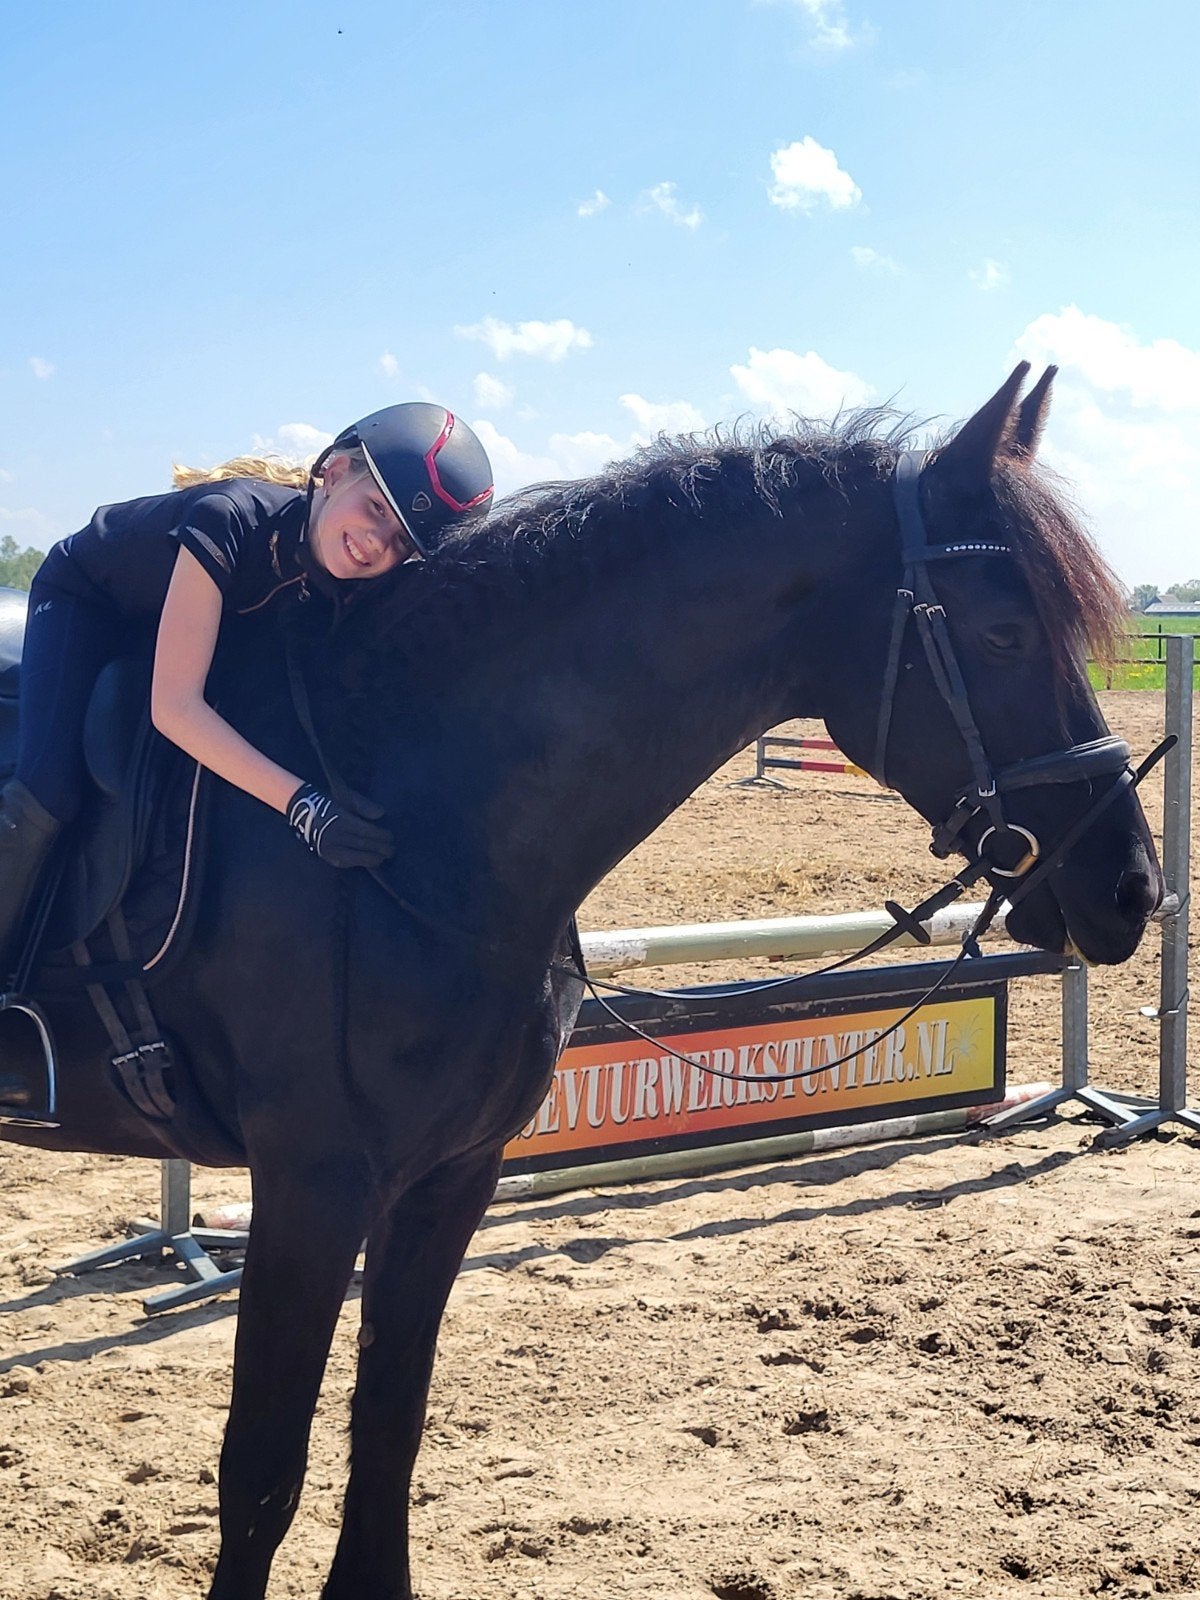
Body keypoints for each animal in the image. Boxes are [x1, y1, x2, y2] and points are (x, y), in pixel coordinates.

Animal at [0, 364, 1163, 1598]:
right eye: (1003, 631)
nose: (1132, 886)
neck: (407, 803)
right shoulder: (313, 1185)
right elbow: (263, 1467)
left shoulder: (447, 1178)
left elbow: (389, 1425)